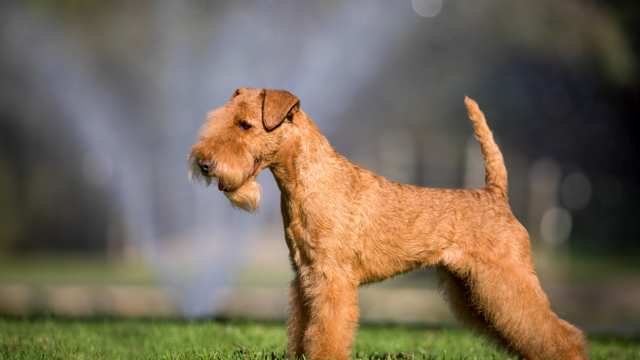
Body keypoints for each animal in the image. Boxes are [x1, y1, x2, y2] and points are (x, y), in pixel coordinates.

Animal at [188, 88, 588, 360]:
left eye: (245, 124)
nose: (204, 163)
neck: (308, 179)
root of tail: (495, 193)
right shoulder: (304, 278)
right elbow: (303, 330)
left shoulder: (332, 279)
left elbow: (326, 333)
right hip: (474, 289)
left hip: (506, 279)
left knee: (558, 332)